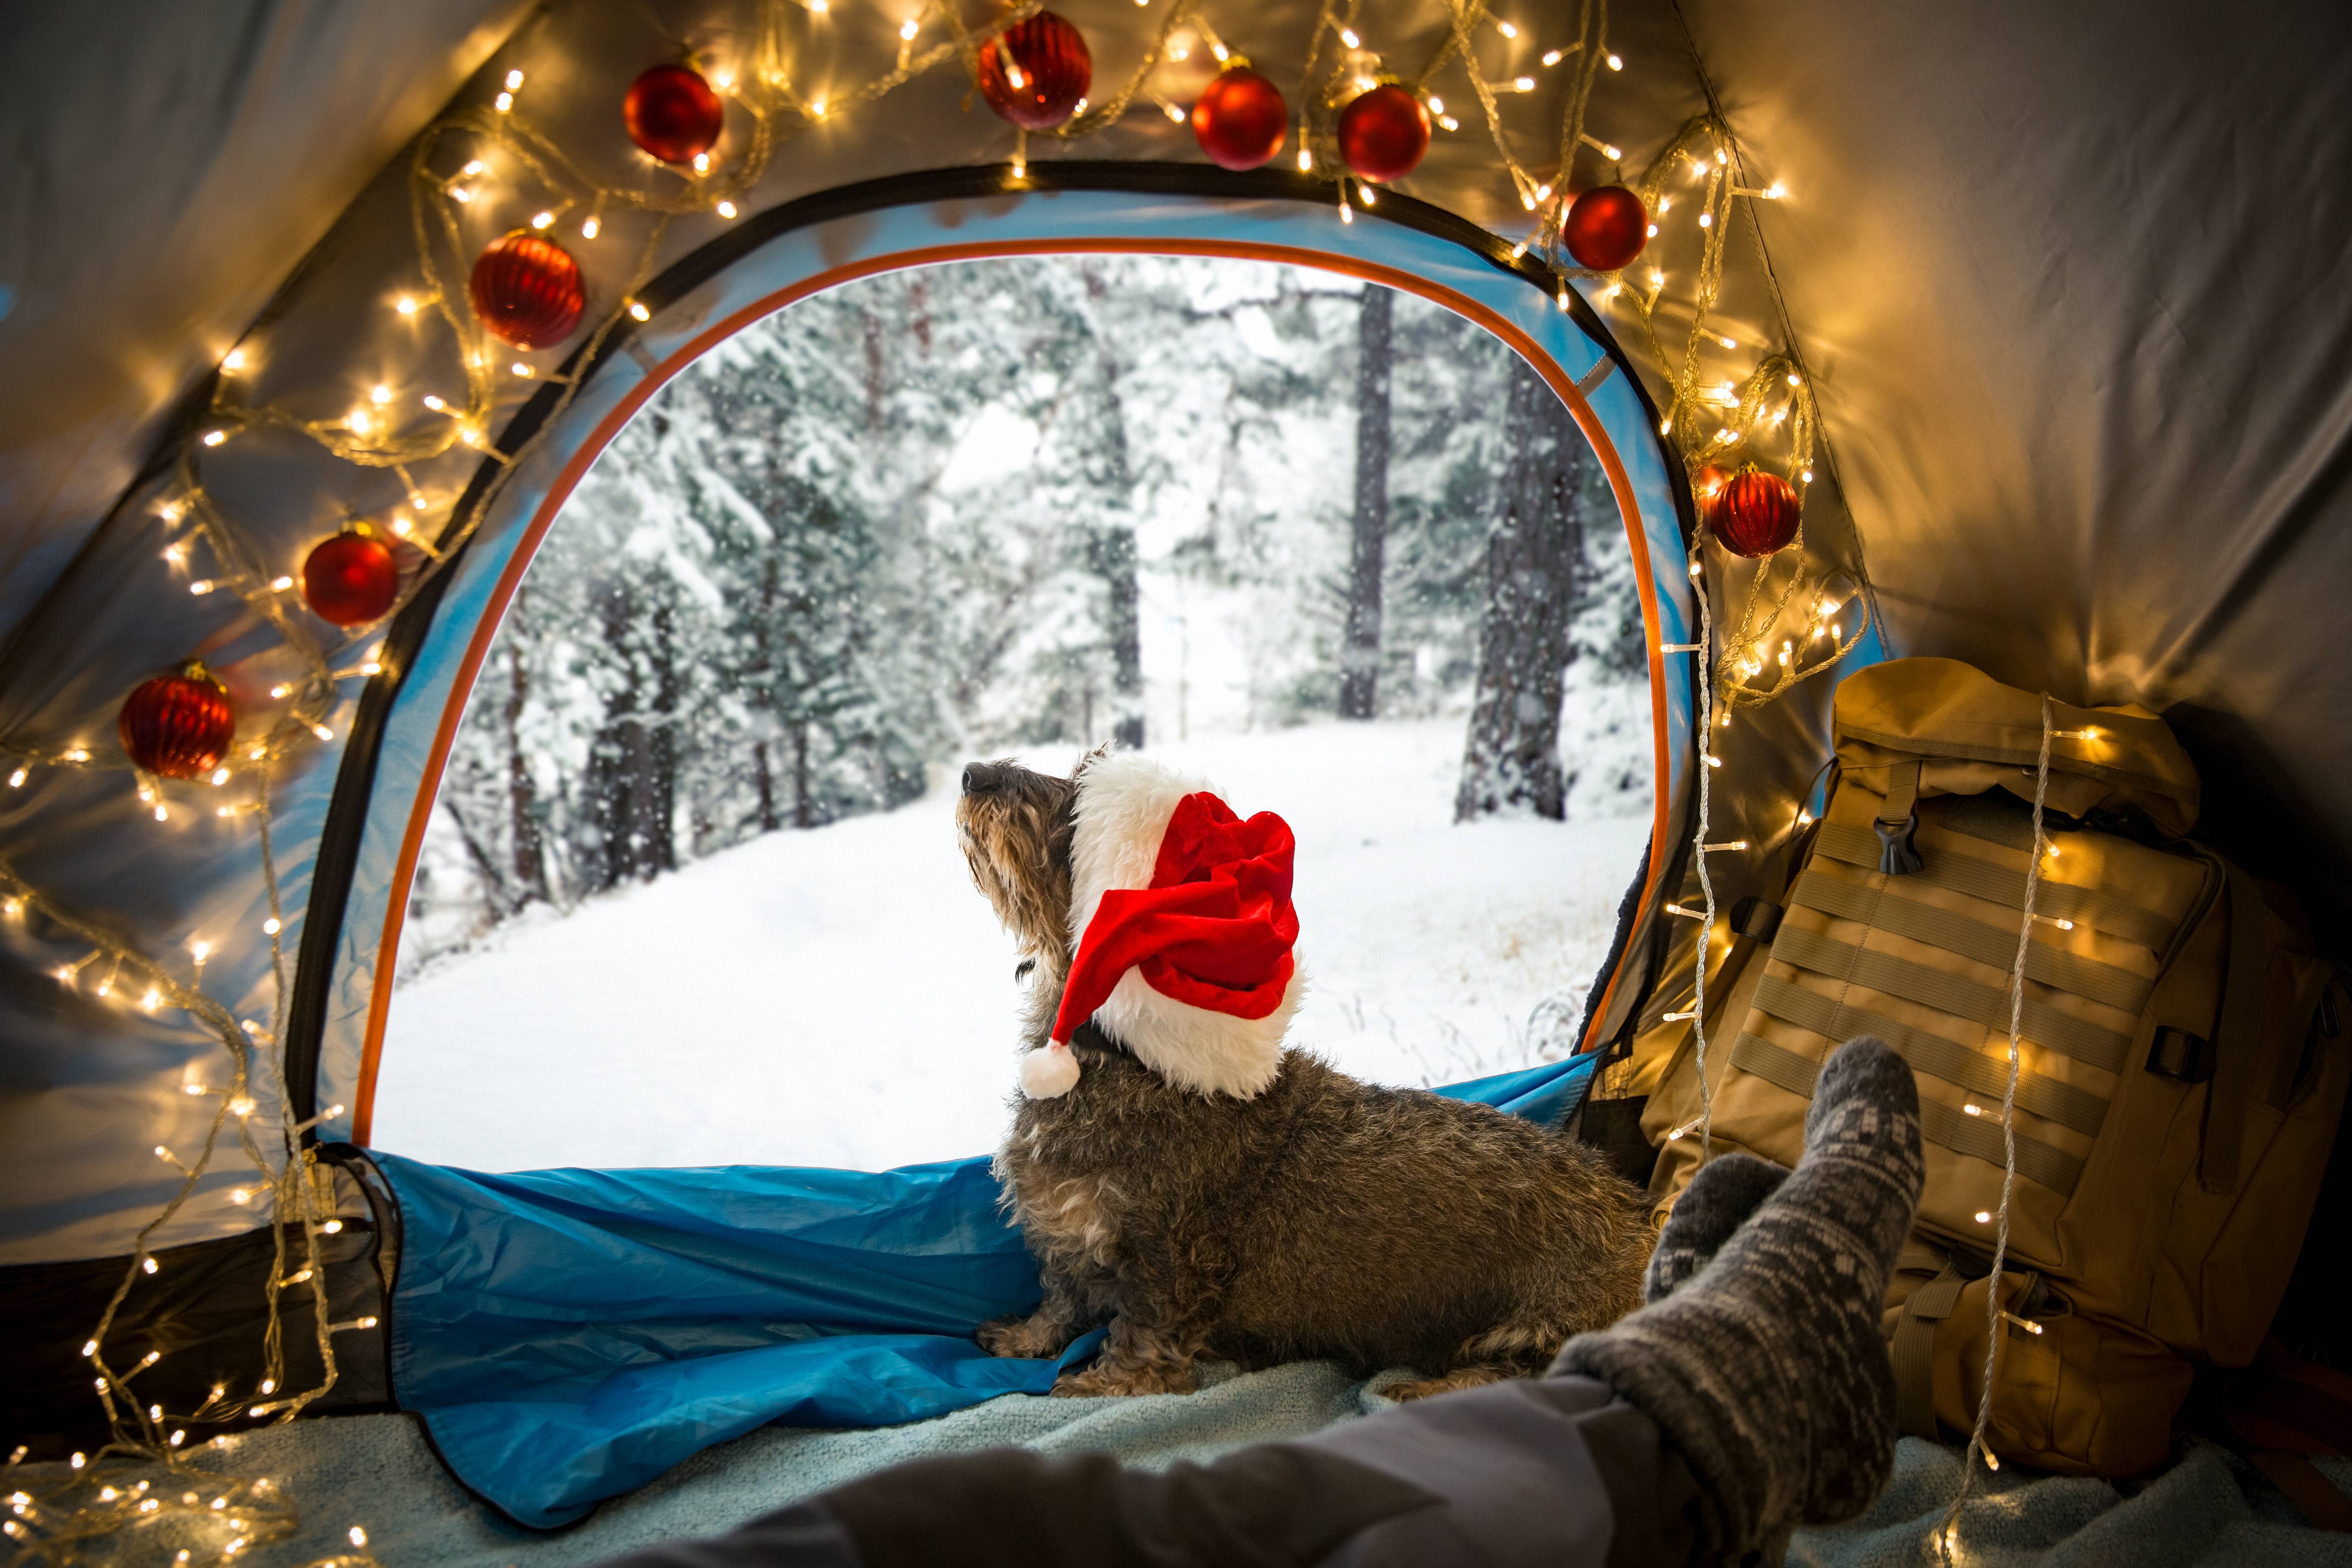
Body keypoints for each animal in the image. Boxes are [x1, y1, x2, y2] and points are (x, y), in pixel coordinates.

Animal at [946, 748, 1646, 1401]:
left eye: (1076, 810)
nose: (973, 773)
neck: (1126, 1059)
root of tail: (1636, 1215)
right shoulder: (1066, 1230)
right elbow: (1060, 1296)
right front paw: (1028, 1336)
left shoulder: (1167, 1257)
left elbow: (1143, 1335)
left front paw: (1105, 1383)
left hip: (1543, 1325)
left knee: (1520, 1371)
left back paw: (1421, 1389)